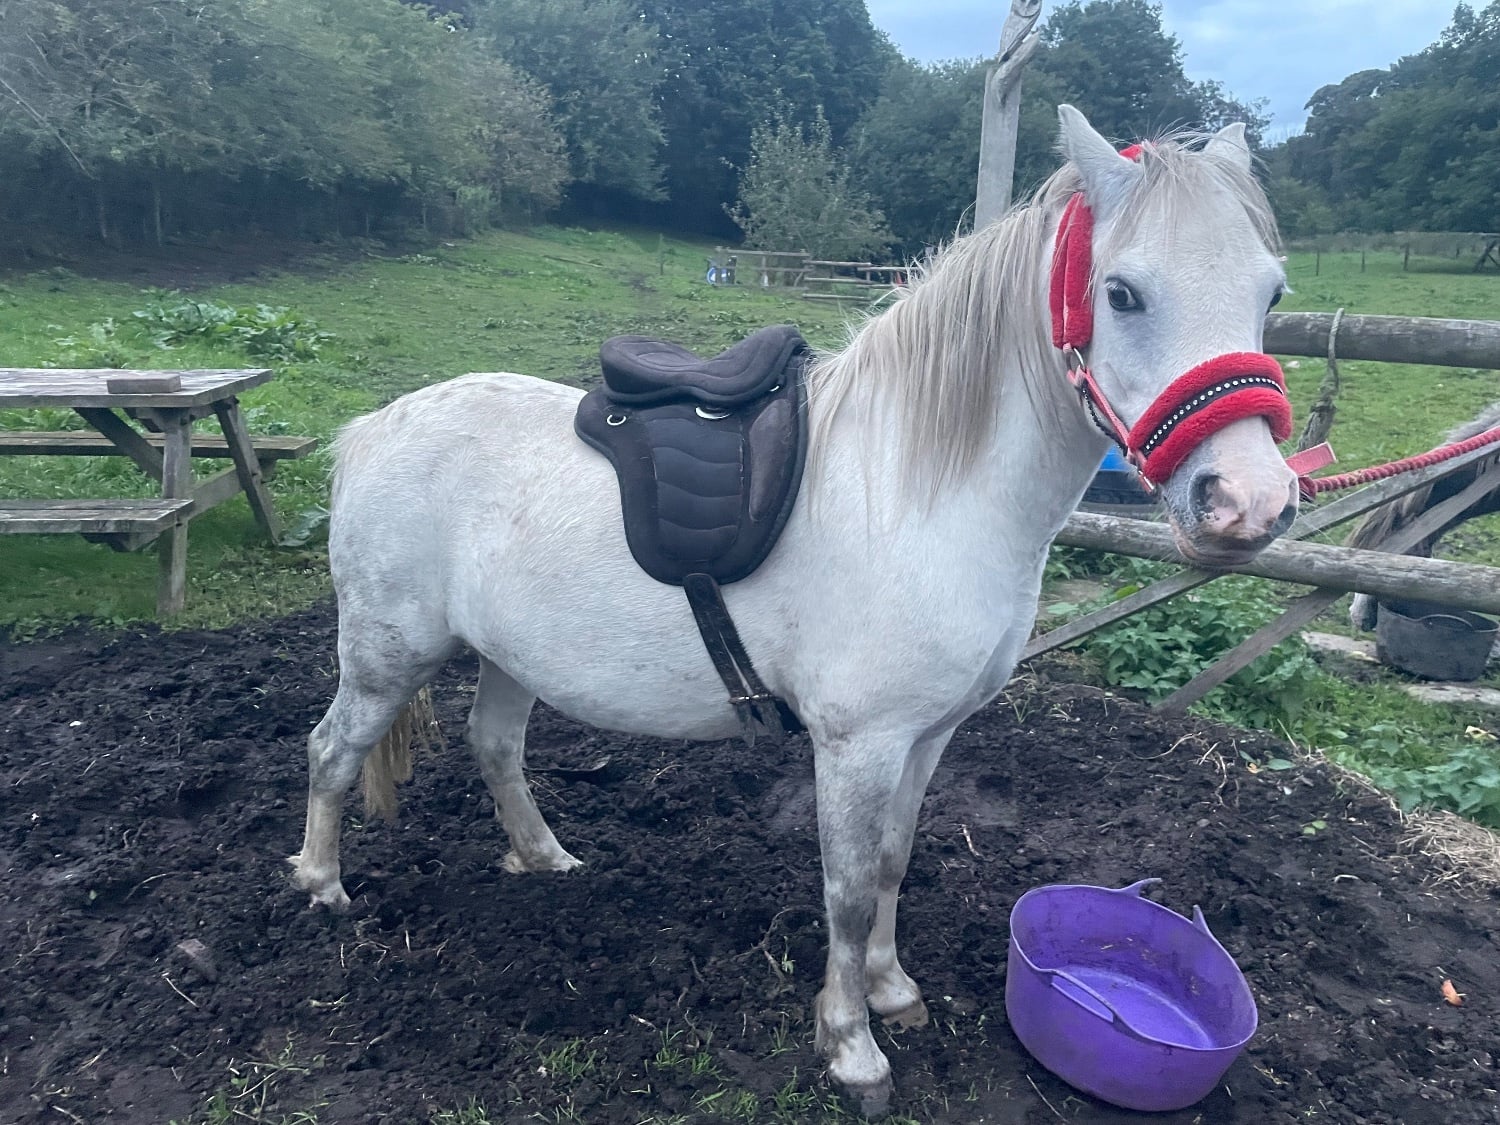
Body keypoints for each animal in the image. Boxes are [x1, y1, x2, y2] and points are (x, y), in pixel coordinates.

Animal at [290, 106, 1298, 1115]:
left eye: (1272, 292)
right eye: (1122, 293)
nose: (1246, 503)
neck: (922, 493)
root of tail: (372, 427)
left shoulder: (928, 736)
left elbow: (893, 859)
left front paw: (891, 990)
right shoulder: (859, 743)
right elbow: (847, 888)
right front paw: (851, 1046)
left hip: (508, 656)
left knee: (495, 745)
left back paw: (543, 857)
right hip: (385, 654)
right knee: (332, 750)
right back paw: (322, 886)